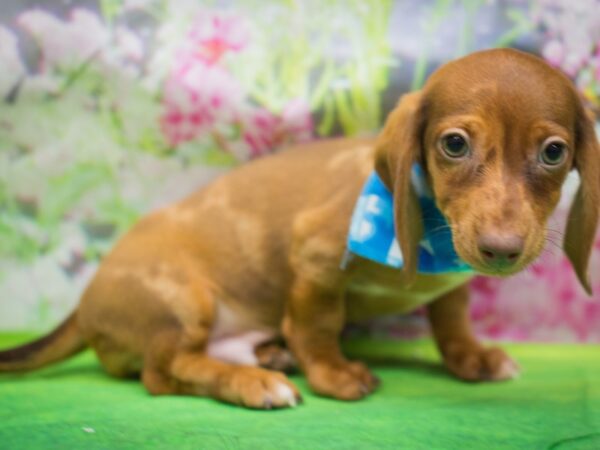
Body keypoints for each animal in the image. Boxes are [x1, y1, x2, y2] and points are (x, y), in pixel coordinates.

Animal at [1, 48, 600, 408]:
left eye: (553, 152)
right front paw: (334, 373)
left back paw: (269, 356)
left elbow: (451, 320)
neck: (430, 231)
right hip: (184, 298)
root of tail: (84, 308)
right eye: (454, 144)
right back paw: (256, 382)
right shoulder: (313, 261)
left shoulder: (448, 284)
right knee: (166, 371)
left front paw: (471, 358)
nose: (501, 251)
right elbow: (317, 325)